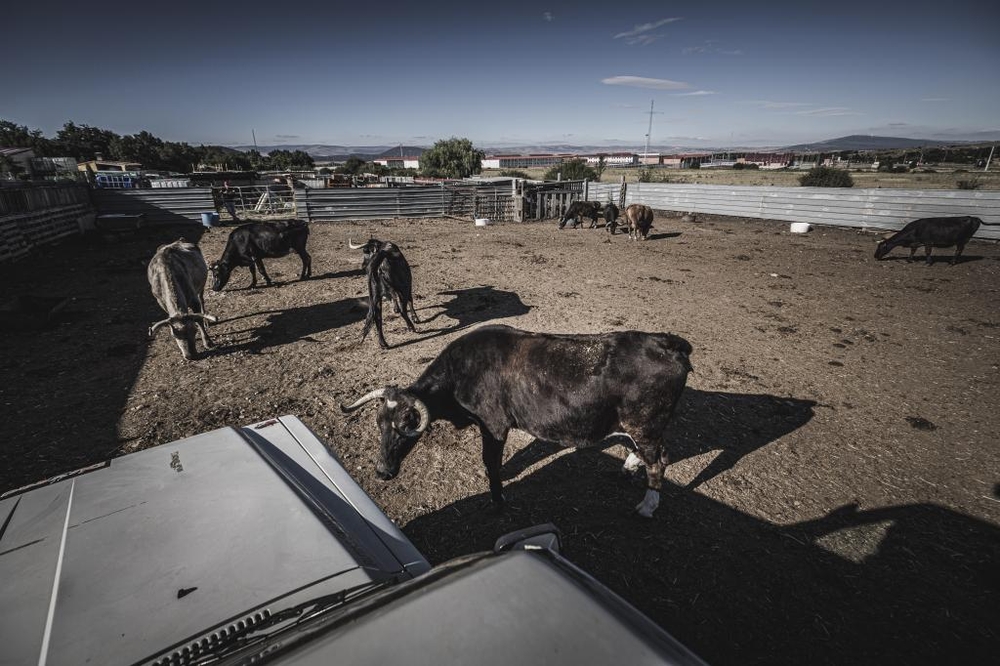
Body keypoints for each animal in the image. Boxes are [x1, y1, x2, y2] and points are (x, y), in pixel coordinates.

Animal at [340, 324, 692, 516]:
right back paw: (630, 466)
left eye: (406, 428)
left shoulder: (494, 425)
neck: (461, 372)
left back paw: (647, 506)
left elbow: (491, 462)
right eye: (379, 424)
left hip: (645, 424)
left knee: (659, 460)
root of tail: (667, 343)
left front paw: (497, 498)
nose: (382, 471)